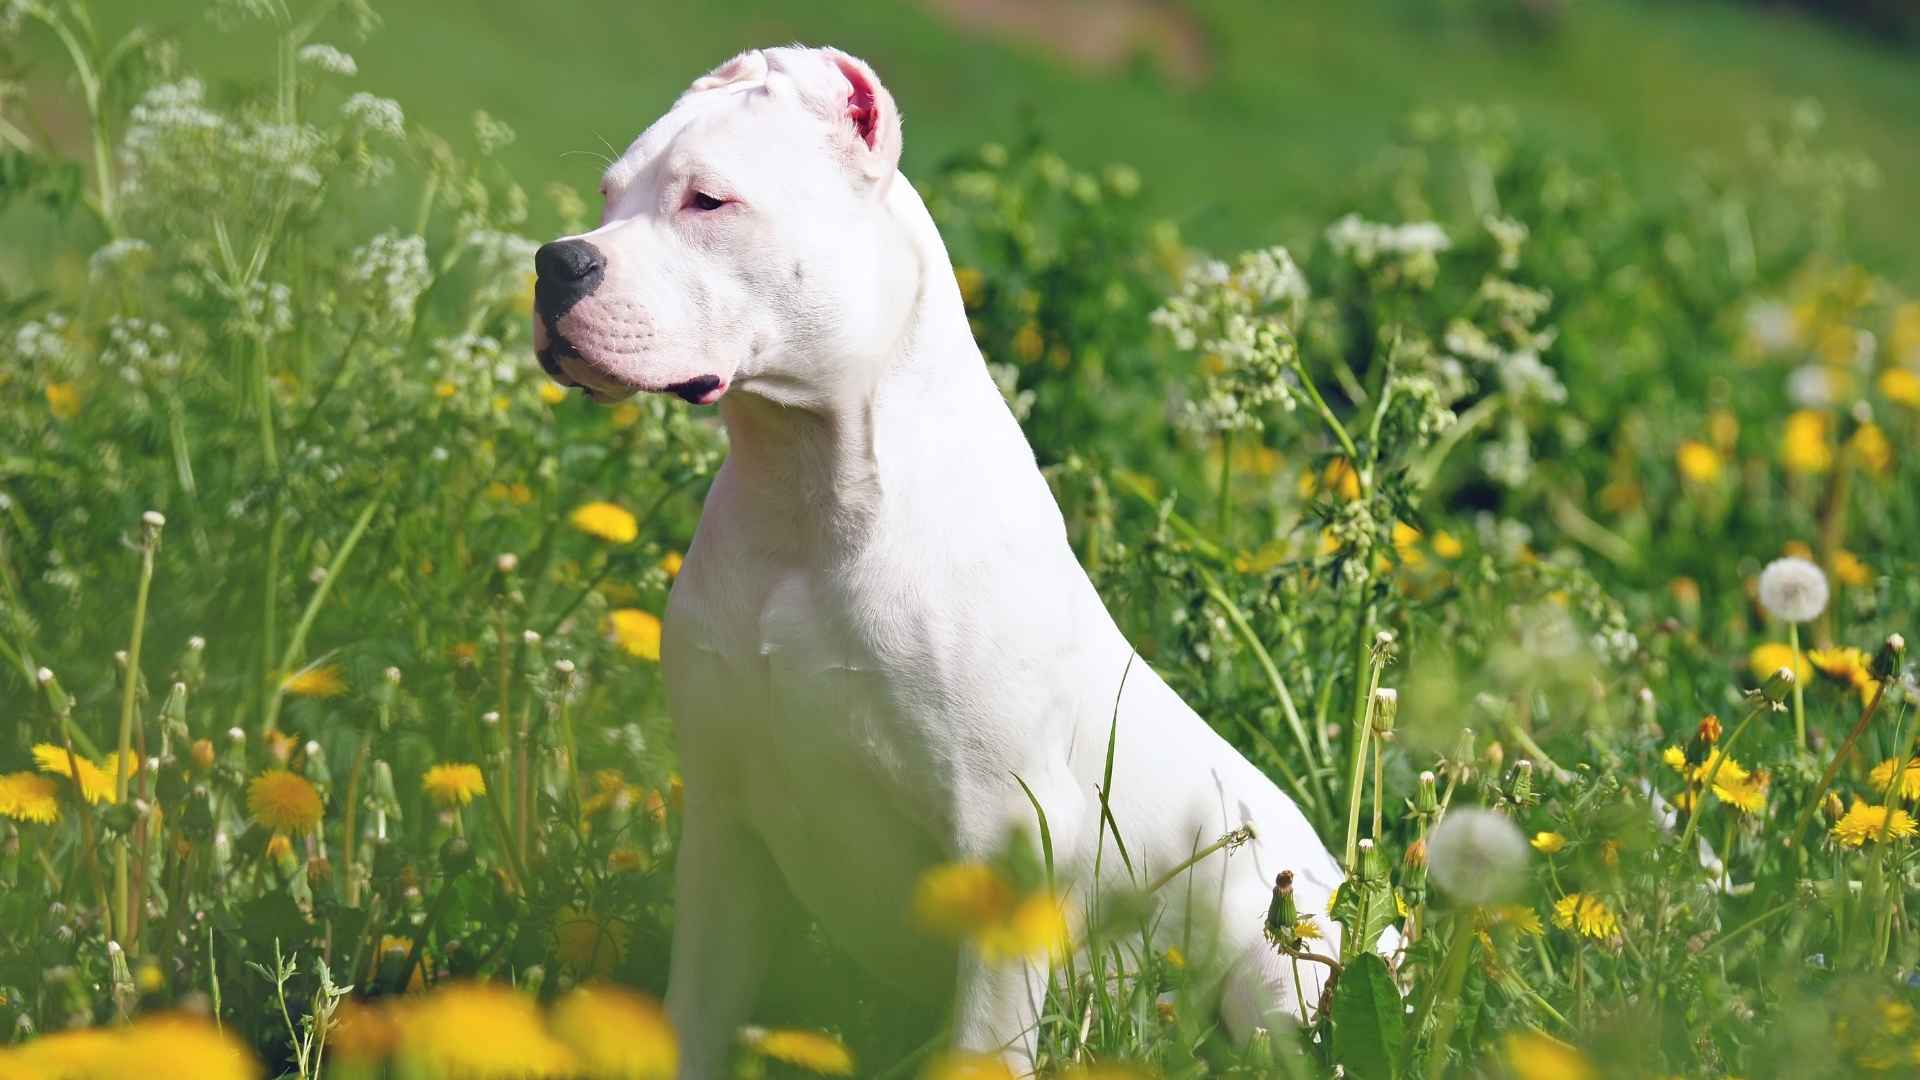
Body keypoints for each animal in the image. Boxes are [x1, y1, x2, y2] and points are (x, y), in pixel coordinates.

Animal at [529, 46, 1351, 1068]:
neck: (806, 492)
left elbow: (987, 1043)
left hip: (1280, 966)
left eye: (708, 201)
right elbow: (699, 1011)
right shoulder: (724, 824)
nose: (556, 260)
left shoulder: (1009, 843)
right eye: (609, 196)